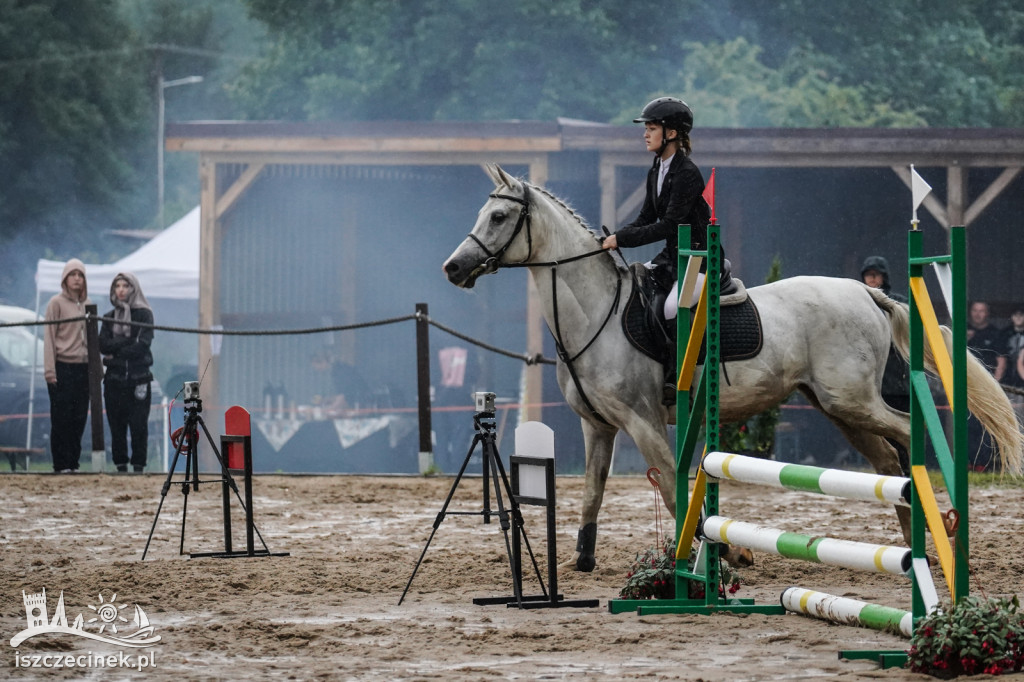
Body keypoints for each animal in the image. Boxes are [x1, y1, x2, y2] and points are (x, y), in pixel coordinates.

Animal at [442, 163, 1024, 569]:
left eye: (498, 217)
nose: (453, 267)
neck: (594, 312)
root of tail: (866, 292)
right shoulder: (598, 425)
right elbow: (591, 492)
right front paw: (583, 560)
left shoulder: (641, 421)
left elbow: (673, 488)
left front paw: (722, 553)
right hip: (838, 409)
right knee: (885, 459)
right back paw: (912, 538)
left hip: (851, 400)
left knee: (906, 433)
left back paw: (942, 522)